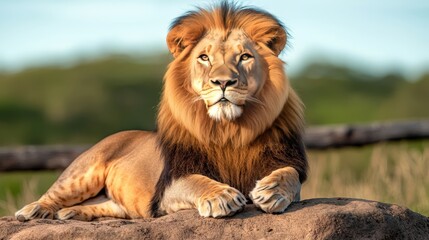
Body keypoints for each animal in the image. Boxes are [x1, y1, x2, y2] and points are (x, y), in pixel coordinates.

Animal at [15, 1, 306, 221]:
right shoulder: (170, 186)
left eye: (245, 57)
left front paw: (272, 191)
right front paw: (221, 196)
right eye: (204, 57)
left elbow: (289, 175)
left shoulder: (285, 161)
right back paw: (33, 211)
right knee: (53, 194)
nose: (223, 82)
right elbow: (197, 182)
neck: (228, 130)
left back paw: (70, 214)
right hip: (81, 173)